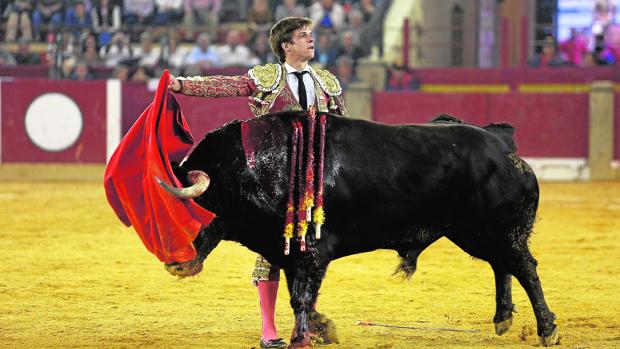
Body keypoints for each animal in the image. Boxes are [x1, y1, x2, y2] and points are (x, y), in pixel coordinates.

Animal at [167, 111, 560, 346]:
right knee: (501, 265)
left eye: (192, 204)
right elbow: (297, 296)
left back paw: (547, 330)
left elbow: (301, 298)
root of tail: (502, 143)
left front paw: (312, 334)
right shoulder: (287, 252)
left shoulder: (312, 254)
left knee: (524, 267)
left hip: (498, 229)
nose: (173, 260)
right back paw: (503, 320)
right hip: (474, 232)